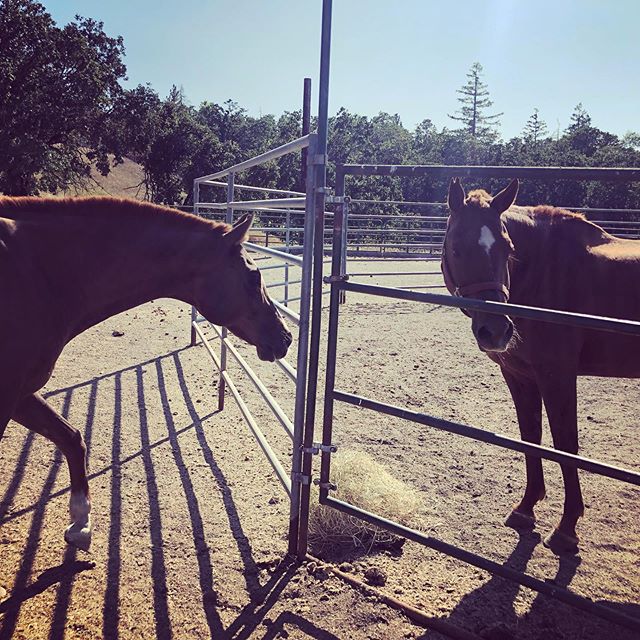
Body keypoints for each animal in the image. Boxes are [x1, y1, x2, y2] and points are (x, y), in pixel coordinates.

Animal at [0, 196, 292, 552]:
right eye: (253, 277)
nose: (286, 337)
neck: (40, 274)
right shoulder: (6, 396)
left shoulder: (20, 393)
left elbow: (72, 438)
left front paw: (81, 523)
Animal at [442, 180, 640, 556]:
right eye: (456, 249)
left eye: (507, 249)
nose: (496, 331)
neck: (543, 274)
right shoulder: (519, 375)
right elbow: (530, 436)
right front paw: (525, 508)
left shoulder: (557, 375)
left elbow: (565, 445)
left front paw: (566, 529)